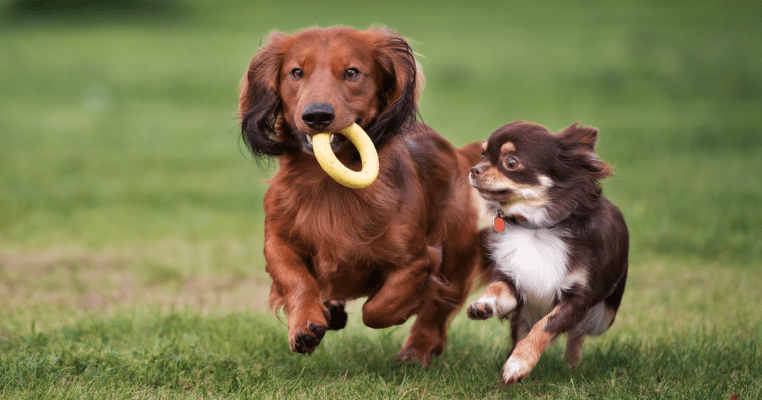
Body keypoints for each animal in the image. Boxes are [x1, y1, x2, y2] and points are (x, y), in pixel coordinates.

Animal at [238, 26, 480, 364]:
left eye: (352, 73)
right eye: (296, 72)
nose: (317, 115)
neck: (329, 184)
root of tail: (456, 152)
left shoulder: (418, 260)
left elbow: (378, 309)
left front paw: (407, 306)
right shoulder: (277, 241)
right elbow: (296, 279)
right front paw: (305, 324)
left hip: (456, 257)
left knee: (436, 313)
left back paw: (416, 351)